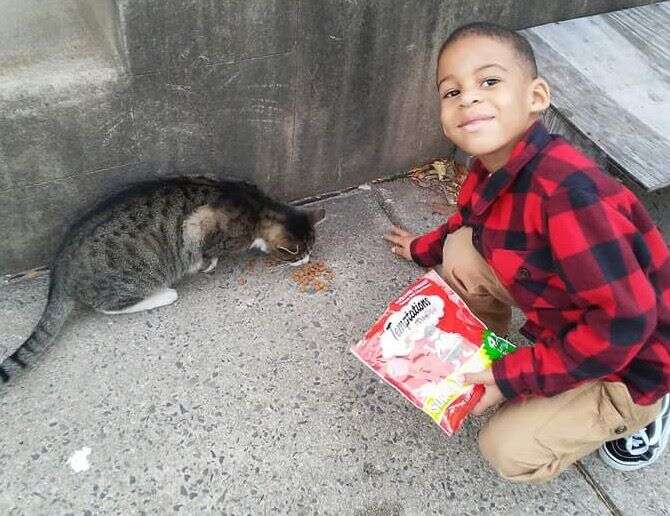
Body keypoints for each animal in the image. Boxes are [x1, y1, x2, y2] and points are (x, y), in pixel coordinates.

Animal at [0, 177, 326, 382]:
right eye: (300, 254)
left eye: (311, 250)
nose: (307, 261)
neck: (257, 207)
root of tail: (59, 271)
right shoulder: (196, 226)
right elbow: (206, 251)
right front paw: (207, 263)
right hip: (132, 278)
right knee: (108, 306)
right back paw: (166, 294)